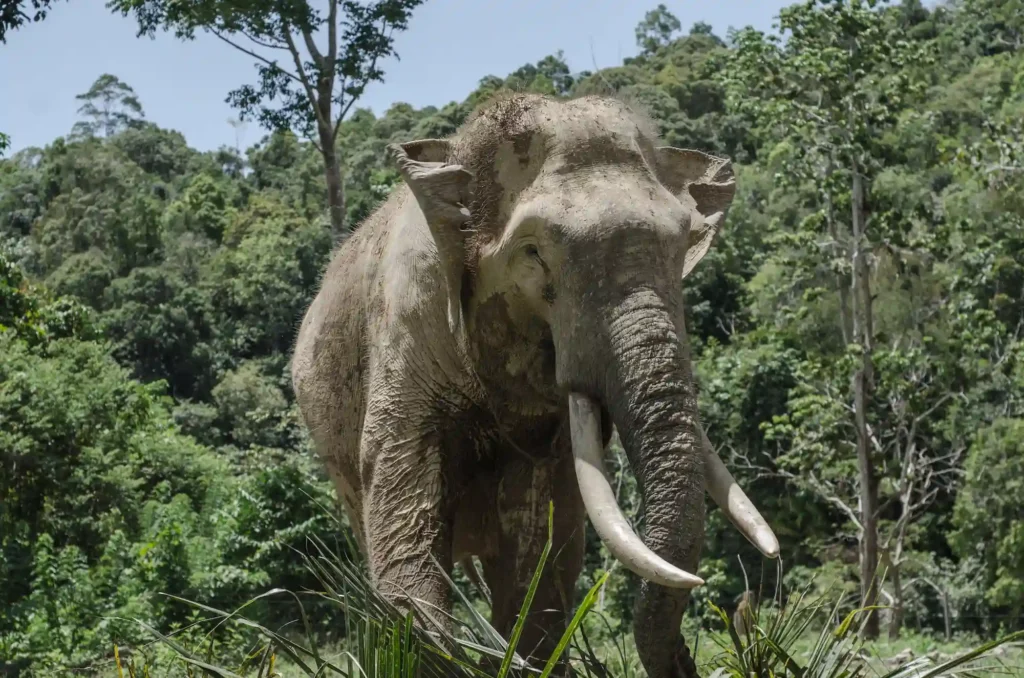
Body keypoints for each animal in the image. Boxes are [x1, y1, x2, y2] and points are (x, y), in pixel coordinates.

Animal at [291, 92, 779, 678]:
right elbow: (404, 526)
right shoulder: (406, 329)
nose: (738, 621)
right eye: (533, 253)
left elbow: (541, 551)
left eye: (683, 245)